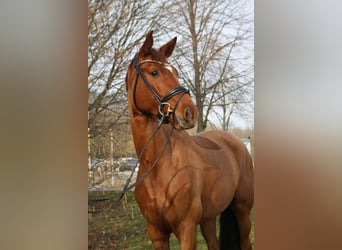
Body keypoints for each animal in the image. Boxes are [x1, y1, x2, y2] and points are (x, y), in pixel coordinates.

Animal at [126, 30, 254, 248]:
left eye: (176, 72)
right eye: (154, 72)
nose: (189, 112)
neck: (157, 166)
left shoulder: (186, 228)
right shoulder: (157, 233)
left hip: (242, 211)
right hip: (208, 219)